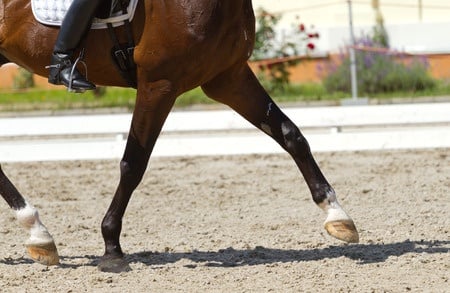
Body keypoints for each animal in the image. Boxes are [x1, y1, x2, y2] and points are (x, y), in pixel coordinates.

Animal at [0, 0, 358, 272]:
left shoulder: (228, 77)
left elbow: (290, 135)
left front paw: (337, 215)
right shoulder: (159, 83)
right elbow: (134, 163)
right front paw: (112, 247)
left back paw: (39, 235)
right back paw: (37, 230)